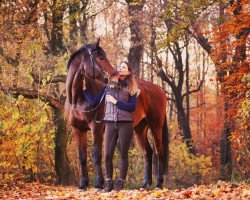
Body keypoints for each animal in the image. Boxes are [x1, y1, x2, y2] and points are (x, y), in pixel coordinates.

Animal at [64, 39, 170, 190]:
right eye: (100, 58)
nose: (114, 75)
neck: (78, 99)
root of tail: (160, 90)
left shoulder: (96, 128)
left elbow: (96, 155)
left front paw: (99, 184)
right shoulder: (77, 130)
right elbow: (82, 157)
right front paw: (83, 185)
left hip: (156, 126)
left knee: (159, 151)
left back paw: (159, 184)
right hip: (140, 129)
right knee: (148, 152)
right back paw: (145, 184)